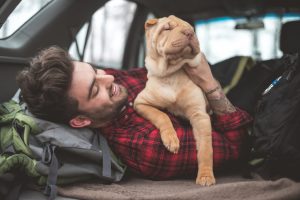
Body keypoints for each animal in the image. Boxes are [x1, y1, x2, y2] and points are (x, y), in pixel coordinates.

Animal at [134, 15, 216, 186]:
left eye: (191, 29)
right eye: (167, 28)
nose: (189, 33)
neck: (171, 73)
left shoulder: (200, 115)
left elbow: (206, 148)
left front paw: (205, 176)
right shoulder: (141, 103)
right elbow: (162, 115)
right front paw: (171, 140)